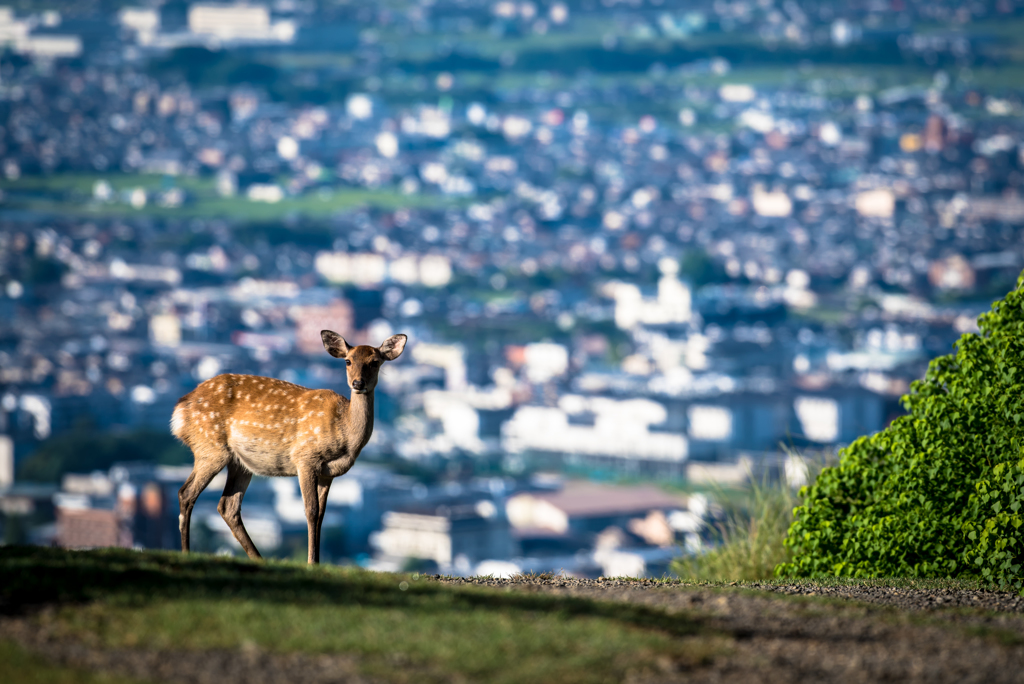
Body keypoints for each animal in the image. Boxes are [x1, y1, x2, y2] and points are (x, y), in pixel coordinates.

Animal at [169, 329, 405, 561]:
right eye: (348, 361)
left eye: (375, 362)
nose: (358, 383)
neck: (345, 436)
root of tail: (179, 409)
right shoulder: (305, 457)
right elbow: (311, 510)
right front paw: (311, 563)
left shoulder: (329, 472)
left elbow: (321, 514)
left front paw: (316, 562)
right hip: (210, 447)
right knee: (187, 493)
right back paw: (186, 553)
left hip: (240, 462)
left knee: (228, 506)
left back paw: (258, 558)